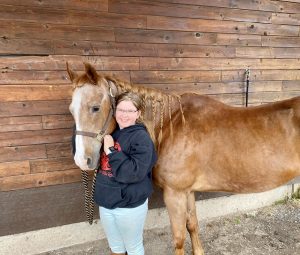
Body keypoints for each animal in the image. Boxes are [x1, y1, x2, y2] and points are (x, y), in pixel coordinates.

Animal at [68, 62, 300, 255]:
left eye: (95, 107)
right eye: (71, 110)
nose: (82, 160)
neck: (171, 124)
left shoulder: (175, 194)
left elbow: (178, 239)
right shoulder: (187, 192)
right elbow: (192, 225)